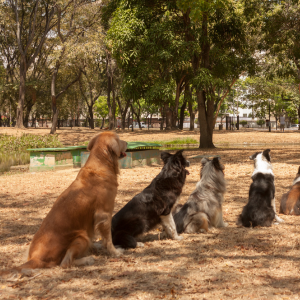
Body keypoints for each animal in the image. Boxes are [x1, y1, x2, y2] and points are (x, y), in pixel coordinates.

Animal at [14, 132, 126, 270]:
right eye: (119, 139)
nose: (127, 143)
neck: (101, 163)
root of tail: (35, 259)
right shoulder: (104, 213)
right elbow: (108, 238)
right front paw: (115, 252)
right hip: (81, 236)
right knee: (65, 263)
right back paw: (87, 259)